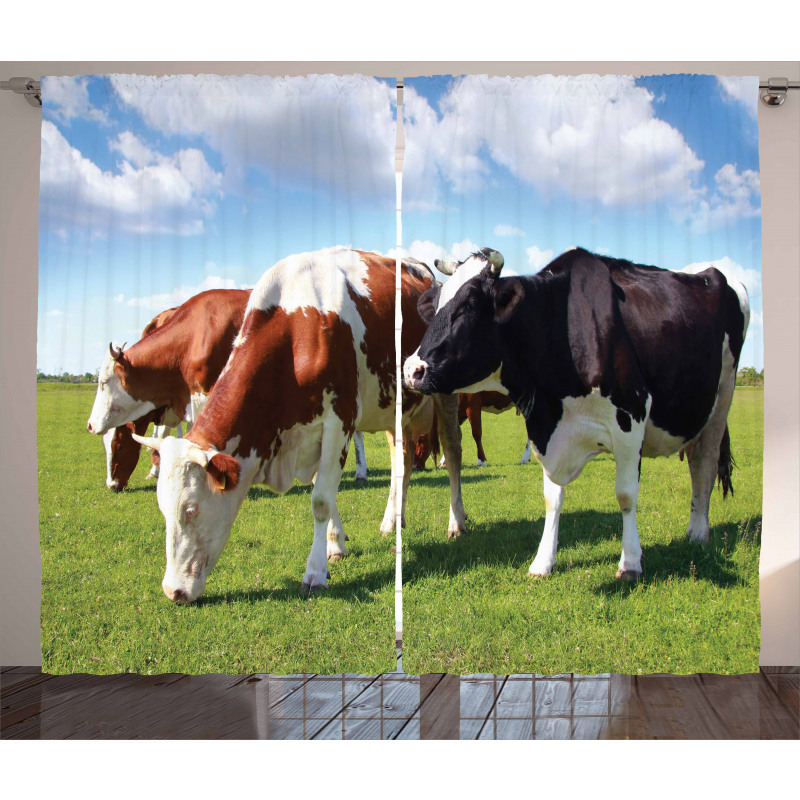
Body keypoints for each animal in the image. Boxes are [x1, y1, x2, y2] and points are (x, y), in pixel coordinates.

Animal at [134, 247, 466, 604]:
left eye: (191, 509)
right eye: (163, 509)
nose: (173, 591)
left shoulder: (339, 421)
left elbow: (321, 500)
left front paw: (316, 571)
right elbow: (326, 492)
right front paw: (335, 545)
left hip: (444, 394)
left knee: (453, 453)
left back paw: (456, 522)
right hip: (394, 408)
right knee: (400, 462)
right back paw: (393, 521)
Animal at [406, 247, 752, 580]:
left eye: (470, 304)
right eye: (437, 305)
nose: (412, 369)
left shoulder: (632, 418)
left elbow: (626, 495)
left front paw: (630, 563)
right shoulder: (549, 429)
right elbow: (552, 497)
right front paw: (543, 562)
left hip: (723, 397)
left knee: (705, 464)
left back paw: (698, 532)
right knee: (695, 461)